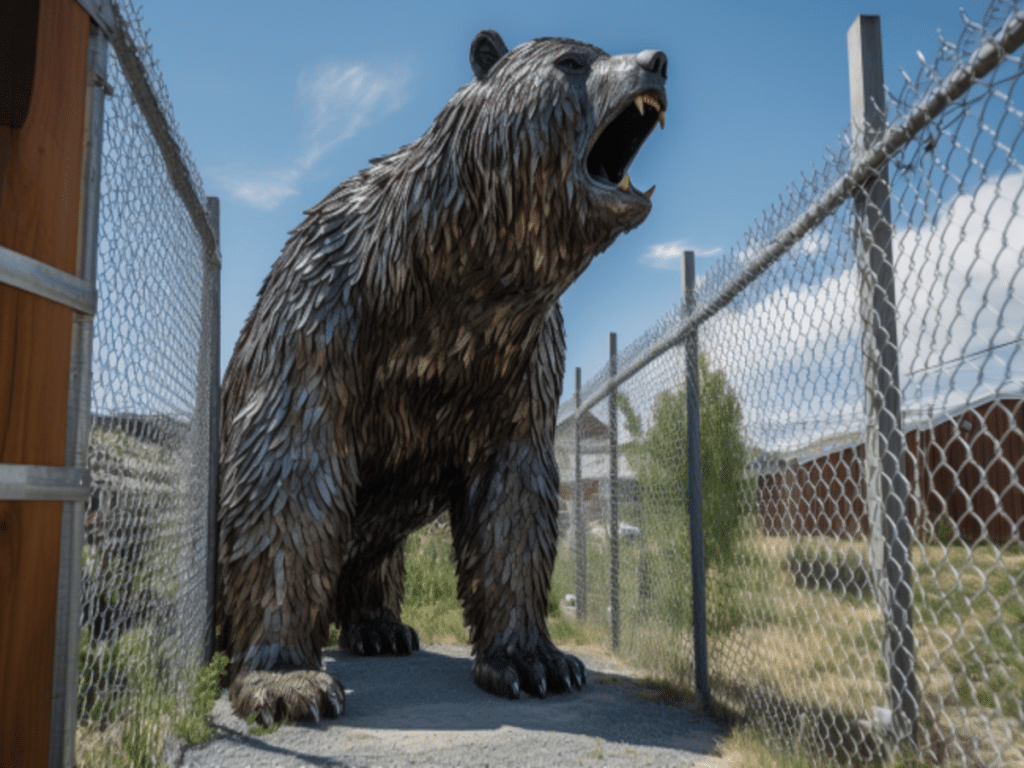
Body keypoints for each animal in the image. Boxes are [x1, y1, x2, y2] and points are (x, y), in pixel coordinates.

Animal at [218, 29, 667, 726]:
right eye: (573, 61)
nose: (655, 63)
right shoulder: (321, 319)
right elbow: (288, 478)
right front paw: (288, 683)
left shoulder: (520, 362)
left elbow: (514, 500)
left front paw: (536, 661)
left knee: (376, 558)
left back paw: (382, 628)